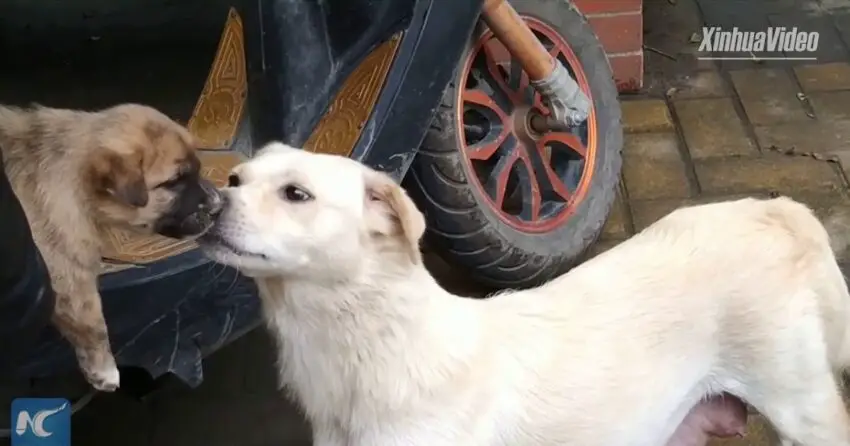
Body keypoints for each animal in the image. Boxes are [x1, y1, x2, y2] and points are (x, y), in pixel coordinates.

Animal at [0, 103, 222, 390]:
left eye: (196, 171)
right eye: (173, 182)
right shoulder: (64, 269)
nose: (218, 206)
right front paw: (104, 371)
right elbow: (92, 323)